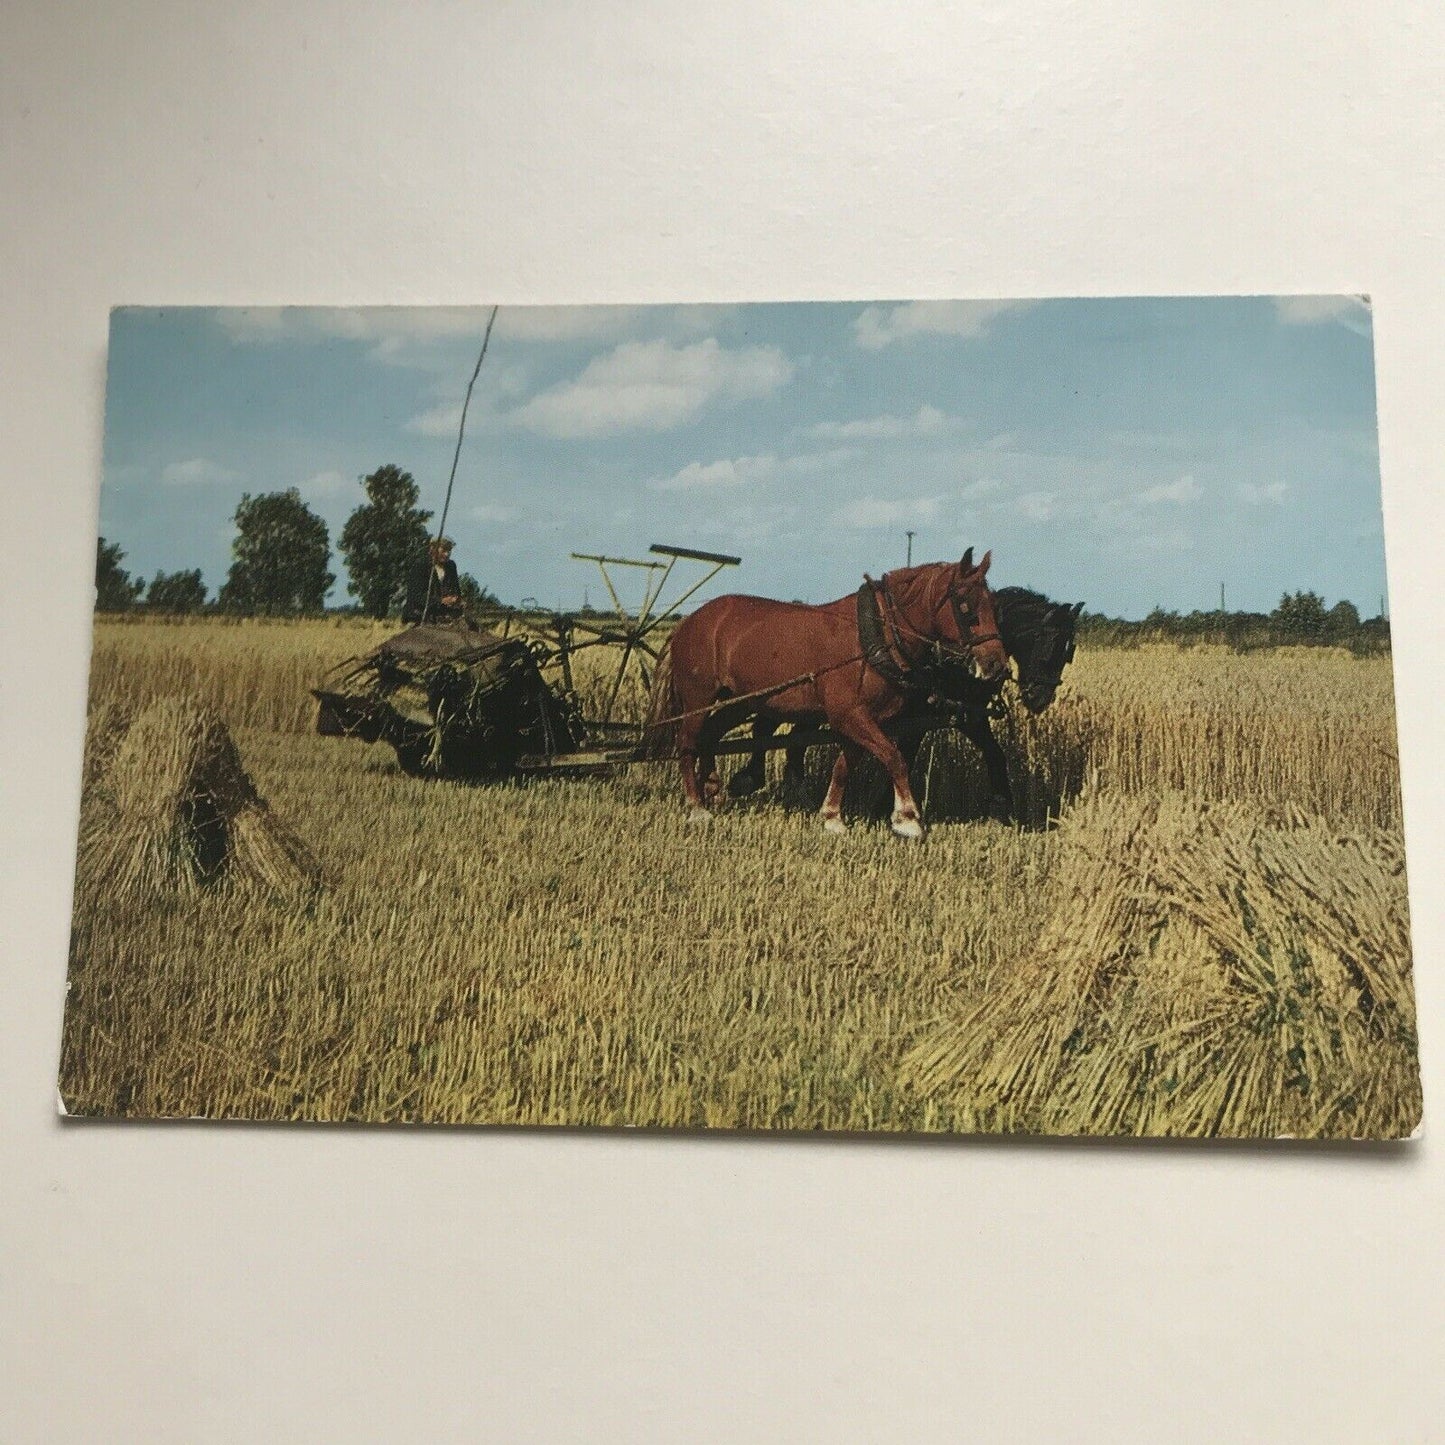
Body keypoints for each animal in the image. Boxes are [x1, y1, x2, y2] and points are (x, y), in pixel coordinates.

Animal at [650, 554, 1011, 843]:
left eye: (994, 604)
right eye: (966, 605)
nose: (996, 665)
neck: (876, 635)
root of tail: (688, 622)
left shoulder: (861, 719)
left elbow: (844, 765)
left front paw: (832, 817)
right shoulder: (848, 714)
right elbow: (894, 757)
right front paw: (907, 820)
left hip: (739, 700)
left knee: (710, 734)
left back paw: (712, 788)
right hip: (697, 698)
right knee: (688, 742)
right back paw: (697, 806)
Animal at [734, 580, 1086, 820]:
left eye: (1069, 651)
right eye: (1048, 642)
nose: (1041, 697)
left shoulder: (967, 713)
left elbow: (995, 754)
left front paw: (1002, 805)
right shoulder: (919, 715)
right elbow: (906, 755)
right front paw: (883, 807)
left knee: (791, 739)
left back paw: (792, 787)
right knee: (767, 729)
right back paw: (752, 779)